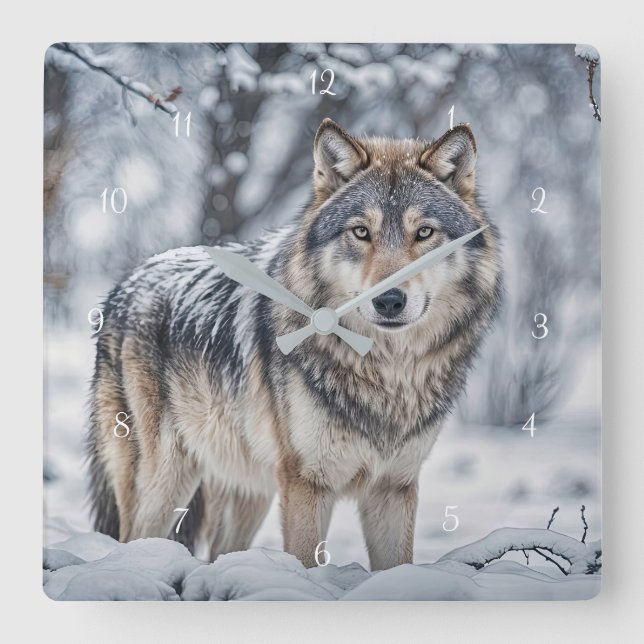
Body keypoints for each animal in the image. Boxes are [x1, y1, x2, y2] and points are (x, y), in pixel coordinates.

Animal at [87, 118, 502, 570]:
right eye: (361, 232)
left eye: (424, 232)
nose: (389, 300)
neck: (385, 371)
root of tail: (125, 283)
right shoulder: (306, 481)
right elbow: (305, 561)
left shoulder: (394, 486)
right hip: (166, 479)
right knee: (132, 539)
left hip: (248, 489)